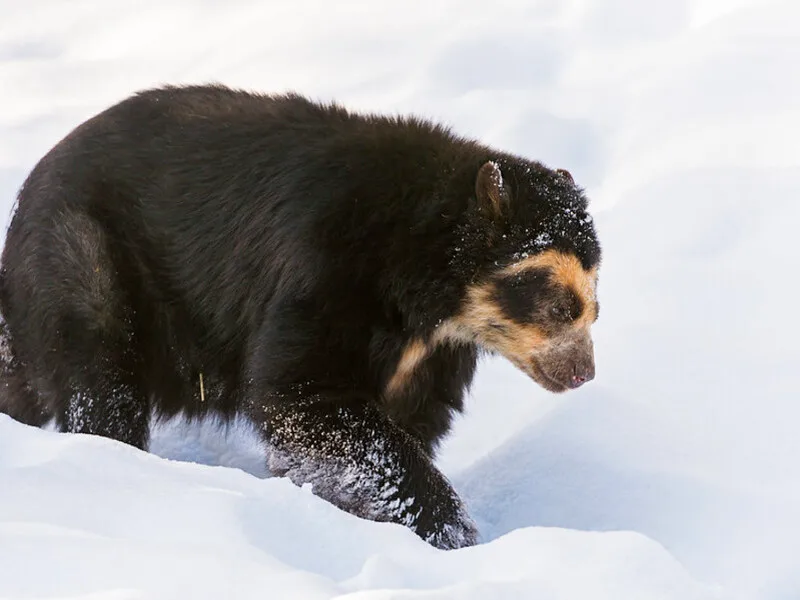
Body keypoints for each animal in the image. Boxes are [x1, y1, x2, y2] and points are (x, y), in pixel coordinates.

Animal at [0, 84, 600, 548]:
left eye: (596, 307)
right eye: (560, 305)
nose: (582, 373)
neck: (429, 299)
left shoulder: (432, 357)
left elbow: (408, 420)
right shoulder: (326, 273)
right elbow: (304, 395)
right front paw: (450, 532)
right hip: (84, 259)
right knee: (100, 382)